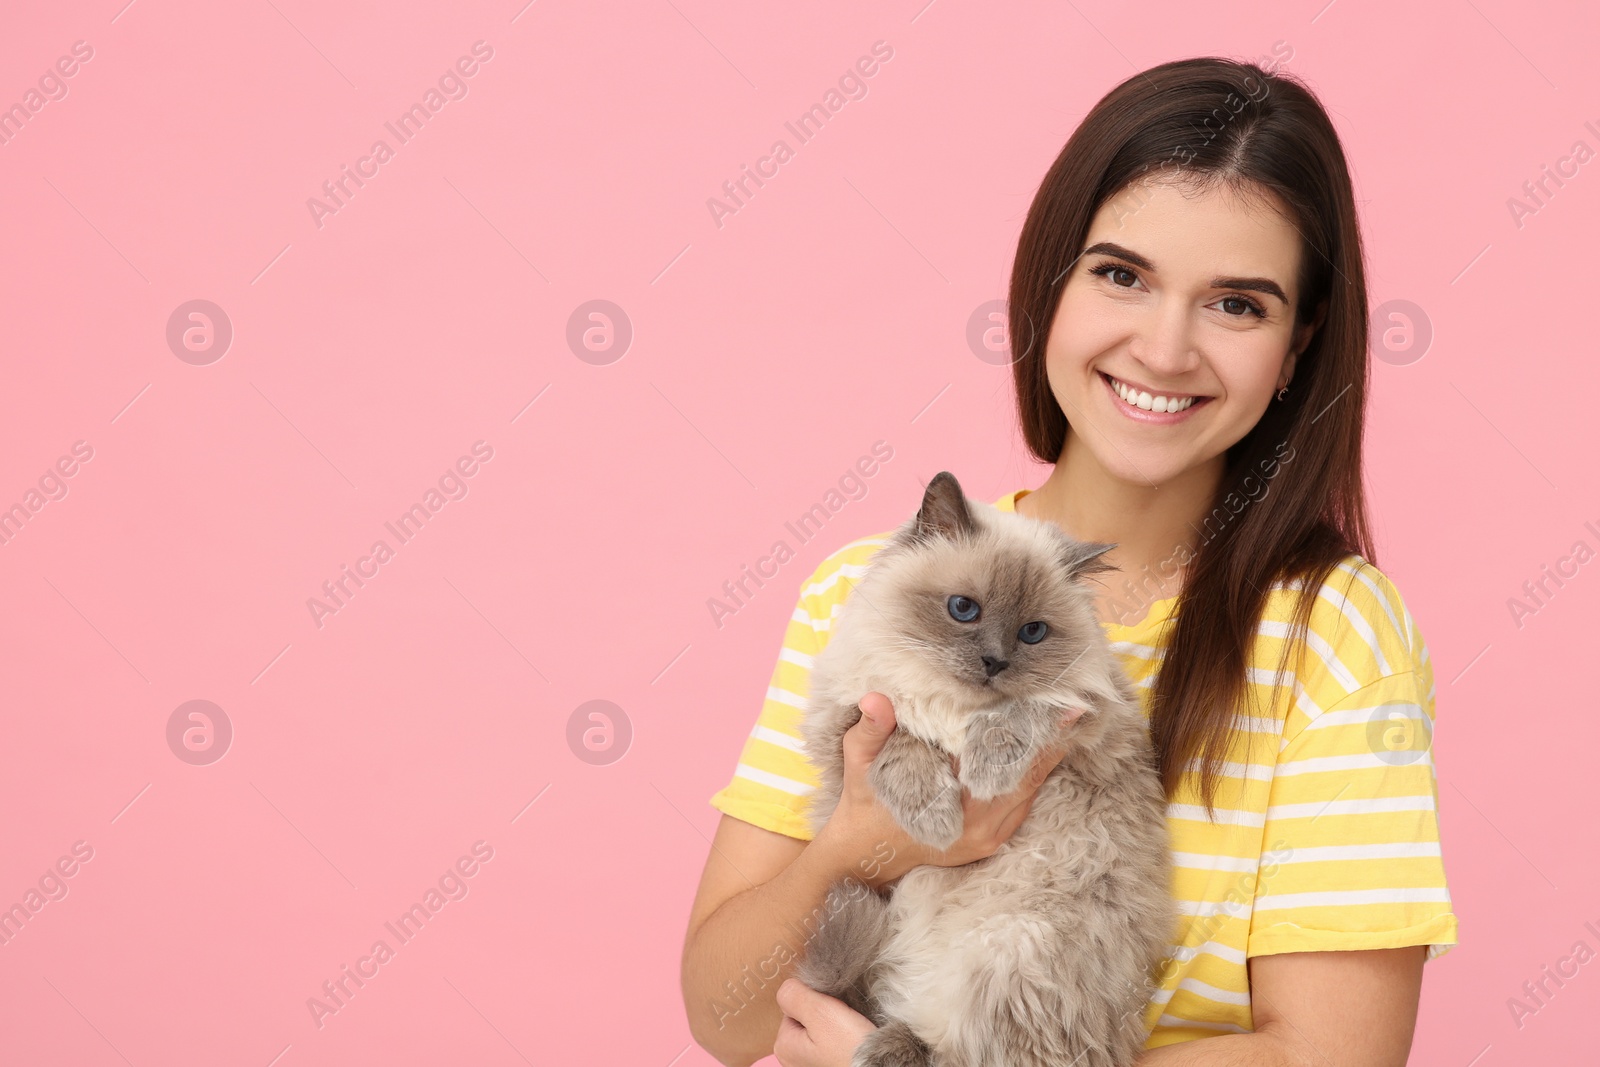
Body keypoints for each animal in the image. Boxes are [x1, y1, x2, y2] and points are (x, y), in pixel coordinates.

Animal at [793, 473, 1171, 1067]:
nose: (994, 662)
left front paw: (985, 774)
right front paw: (938, 820)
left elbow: (1018, 711)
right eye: (962, 609)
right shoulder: (847, 725)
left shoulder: (1092, 721)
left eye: (1033, 632)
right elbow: (906, 740)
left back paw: (885, 1049)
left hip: (1015, 948)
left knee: (969, 1051)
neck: (953, 706)